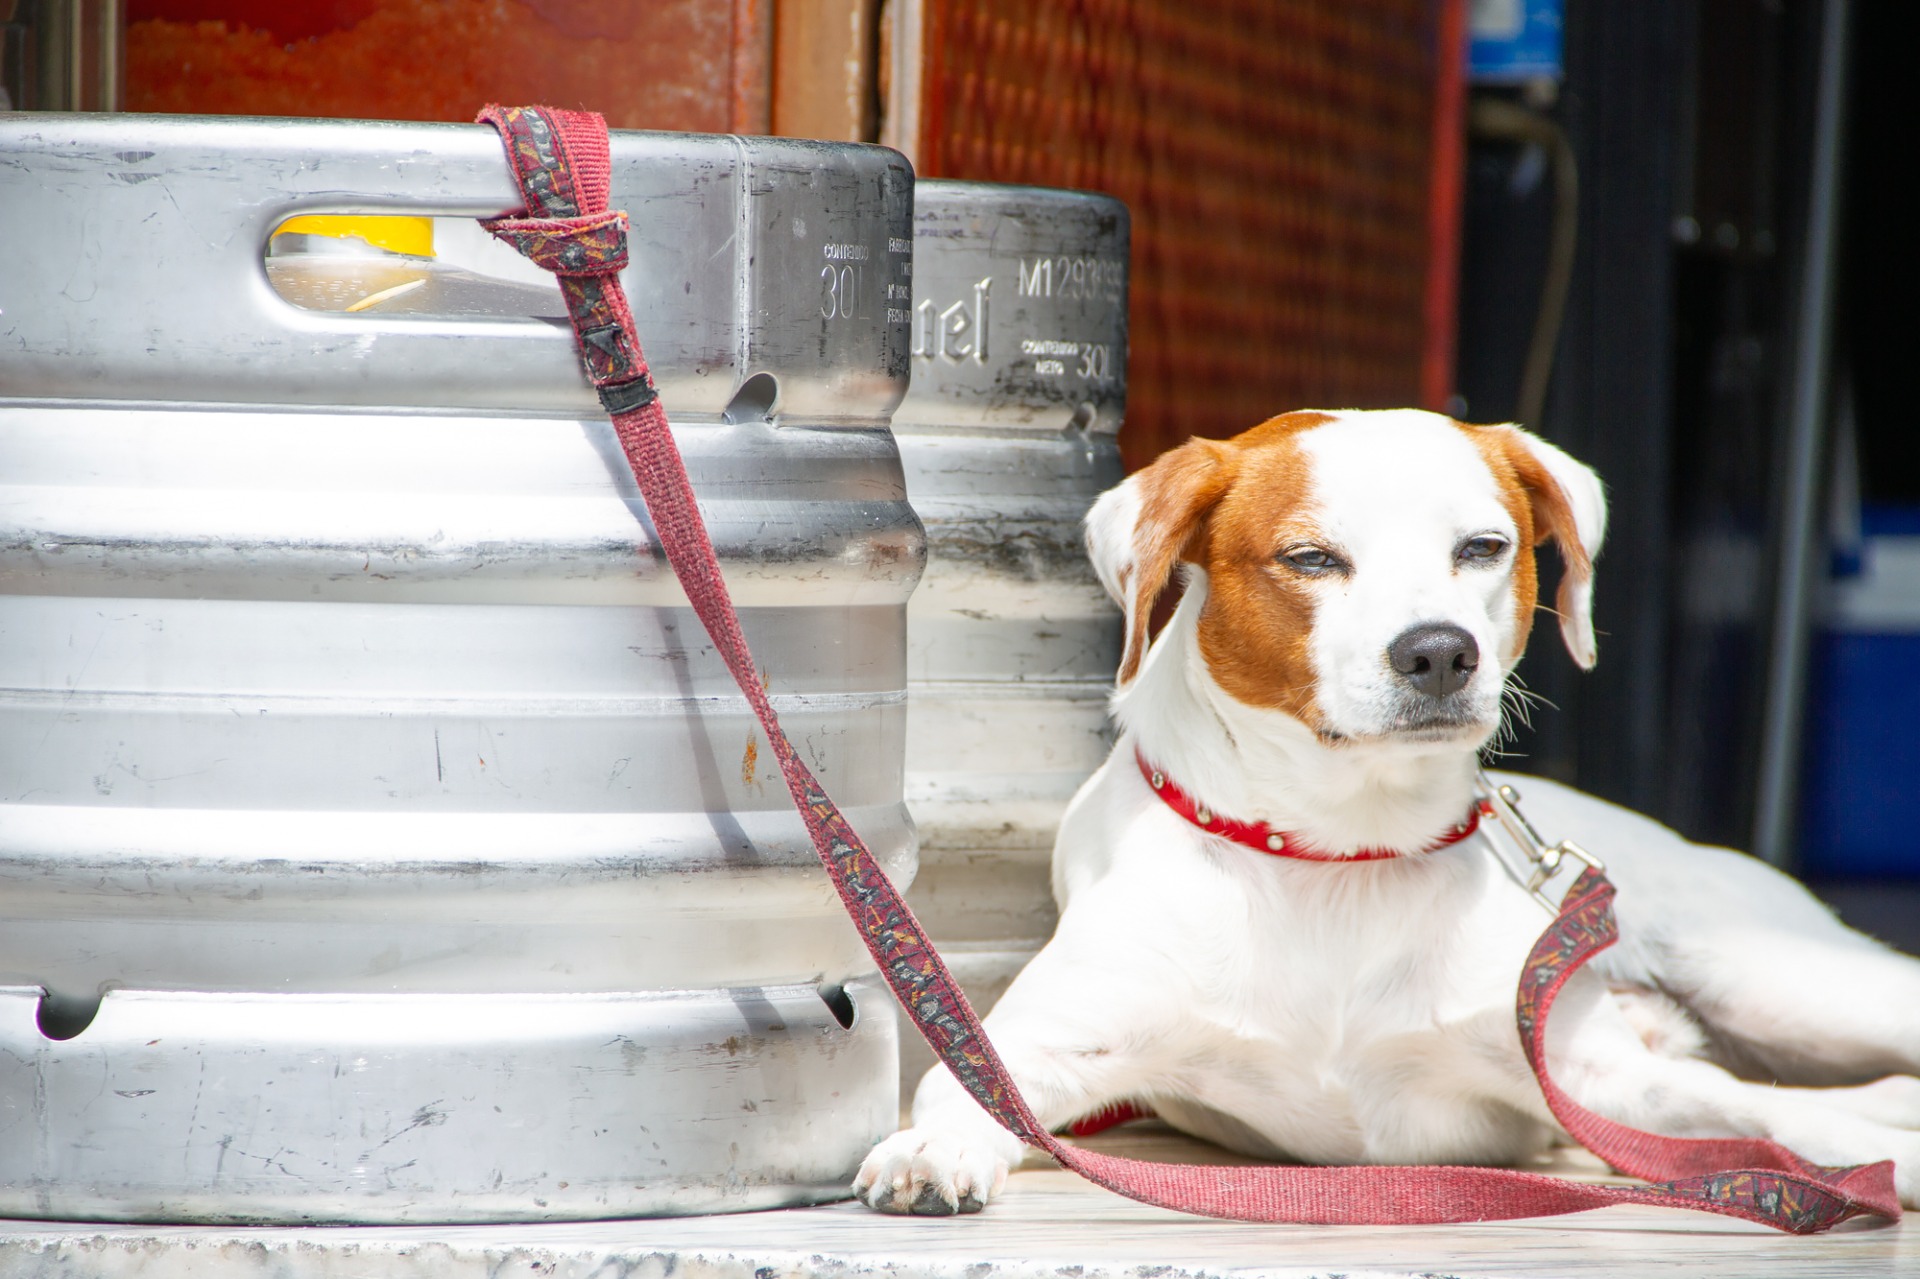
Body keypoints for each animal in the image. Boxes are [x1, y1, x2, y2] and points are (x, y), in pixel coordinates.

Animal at [856, 408, 1920, 1216]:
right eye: (1311, 558)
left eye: (1483, 547)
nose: (1440, 651)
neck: (1341, 855)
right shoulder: (1037, 1045)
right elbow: (965, 1092)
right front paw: (933, 1149)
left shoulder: (1604, 1083)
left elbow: (1779, 1121)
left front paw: (1872, 1163)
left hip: (1778, 979)